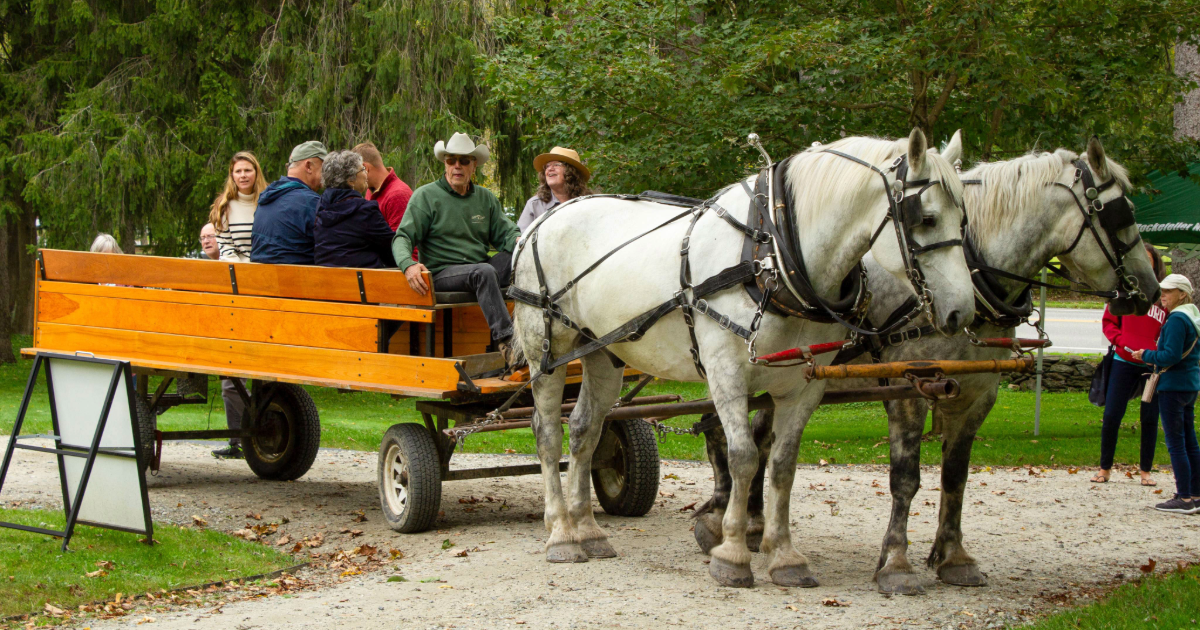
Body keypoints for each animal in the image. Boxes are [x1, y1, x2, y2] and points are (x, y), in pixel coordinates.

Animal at [509, 129, 976, 588]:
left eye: (964, 221)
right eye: (925, 218)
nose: (962, 313)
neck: (774, 255)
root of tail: (545, 220)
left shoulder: (804, 384)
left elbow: (783, 465)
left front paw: (784, 556)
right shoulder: (726, 372)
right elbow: (744, 457)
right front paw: (731, 553)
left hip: (602, 351)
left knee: (584, 430)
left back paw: (587, 530)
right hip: (547, 351)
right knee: (547, 433)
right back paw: (561, 533)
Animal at [691, 134, 1161, 593]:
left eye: (963, 220)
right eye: (1121, 215)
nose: (1151, 290)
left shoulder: (977, 393)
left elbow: (955, 475)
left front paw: (954, 557)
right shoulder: (907, 390)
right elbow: (906, 477)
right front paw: (896, 564)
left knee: (754, 438)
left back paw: (748, 524)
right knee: (733, 435)